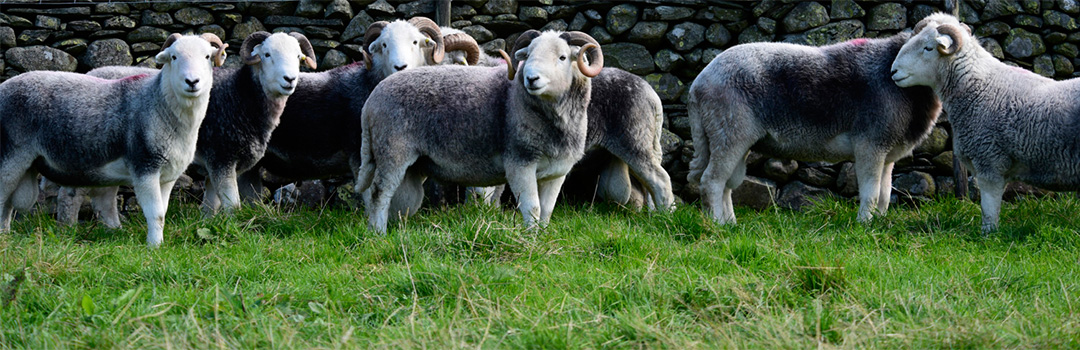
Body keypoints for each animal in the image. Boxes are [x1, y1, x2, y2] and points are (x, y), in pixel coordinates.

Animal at [0, 32, 225, 246]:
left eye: (207, 56)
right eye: (174, 57)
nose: (192, 82)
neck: (158, 103)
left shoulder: (168, 177)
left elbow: (163, 212)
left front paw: (158, 243)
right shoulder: (145, 167)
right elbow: (156, 214)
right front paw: (154, 247)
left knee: (7, 204)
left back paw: (5, 234)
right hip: (10, 156)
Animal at [63, 32, 317, 224]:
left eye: (298, 56)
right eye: (266, 55)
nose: (290, 79)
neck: (240, 96)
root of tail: (92, 72)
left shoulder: (218, 165)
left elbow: (211, 204)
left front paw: (210, 225)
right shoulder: (222, 157)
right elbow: (232, 204)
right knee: (71, 192)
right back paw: (68, 226)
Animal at [356, 29, 604, 232]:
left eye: (562, 57)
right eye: (529, 55)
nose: (531, 78)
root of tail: (371, 100)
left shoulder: (556, 172)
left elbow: (546, 211)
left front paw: (541, 237)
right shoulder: (519, 164)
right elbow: (532, 208)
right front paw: (531, 240)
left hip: (412, 164)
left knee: (401, 198)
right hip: (392, 151)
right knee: (379, 193)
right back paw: (378, 234)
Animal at [686, 31, 941, 225]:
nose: (896, 72)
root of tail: (698, 83)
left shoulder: (887, 152)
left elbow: (884, 194)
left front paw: (879, 222)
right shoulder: (870, 145)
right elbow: (871, 192)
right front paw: (864, 225)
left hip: (732, 139)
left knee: (726, 185)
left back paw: (731, 224)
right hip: (728, 133)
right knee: (711, 182)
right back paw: (718, 225)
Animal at [889, 12, 1080, 232]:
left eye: (928, 48)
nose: (893, 71)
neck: (980, 87)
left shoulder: (990, 162)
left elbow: (989, 211)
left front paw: (989, 235)